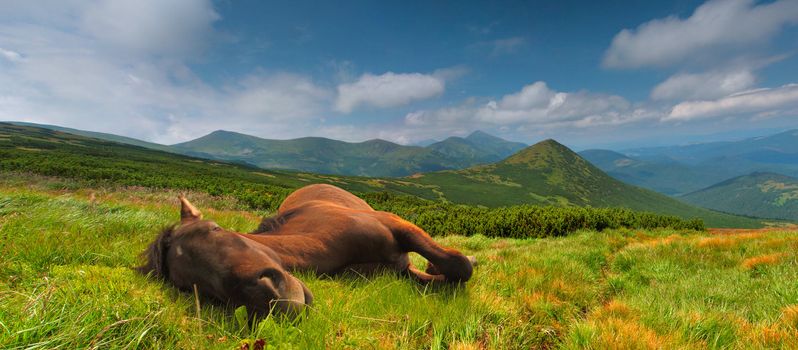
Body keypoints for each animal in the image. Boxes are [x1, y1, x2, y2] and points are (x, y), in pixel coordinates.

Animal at [138, 186, 476, 318]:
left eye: (215, 229)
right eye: (192, 287)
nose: (272, 296)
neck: (327, 239)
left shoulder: (398, 226)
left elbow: (458, 266)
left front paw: (453, 263)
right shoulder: (397, 270)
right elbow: (439, 274)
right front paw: (435, 273)